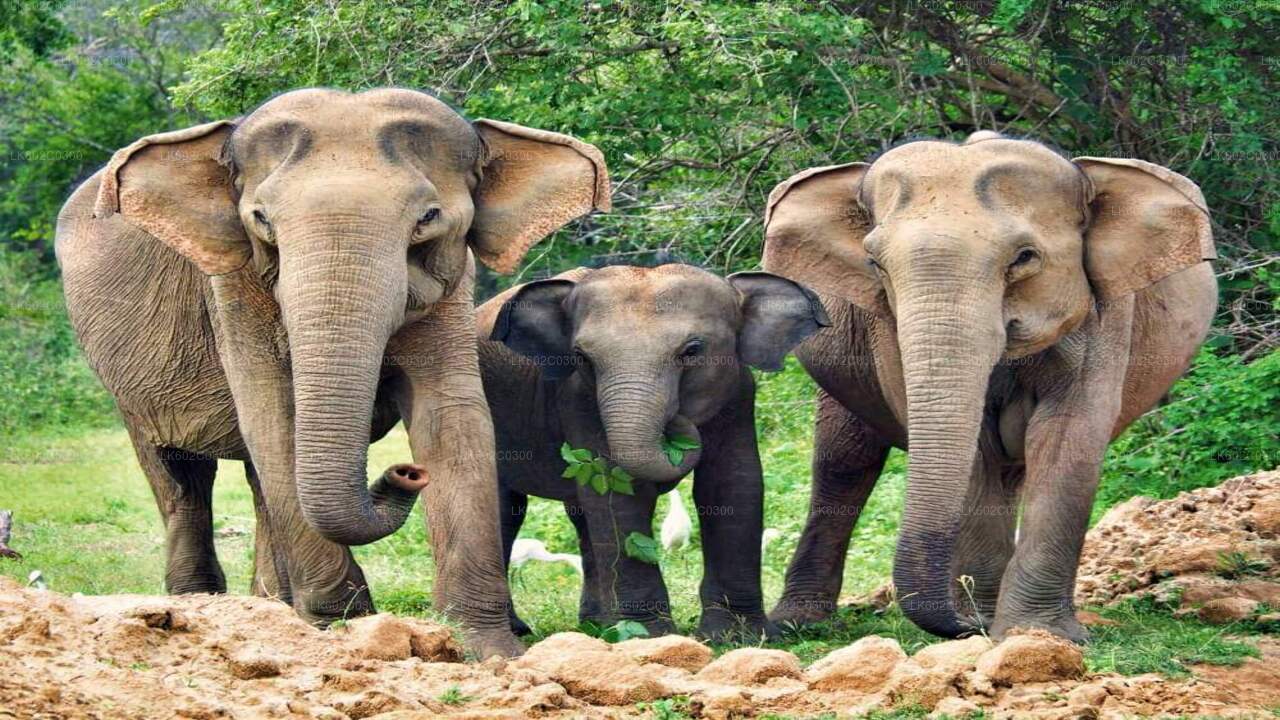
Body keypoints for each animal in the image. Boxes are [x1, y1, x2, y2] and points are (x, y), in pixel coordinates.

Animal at [52, 85, 606, 655]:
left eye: (427, 218)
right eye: (262, 220)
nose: (406, 473)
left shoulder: (454, 284)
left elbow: (453, 414)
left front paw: (488, 649)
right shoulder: (232, 290)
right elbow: (271, 416)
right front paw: (342, 626)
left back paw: (272, 606)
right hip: (130, 385)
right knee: (181, 476)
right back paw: (201, 604)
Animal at [473, 266, 829, 635]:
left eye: (692, 350)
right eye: (582, 357)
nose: (679, 423)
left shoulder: (739, 392)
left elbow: (732, 483)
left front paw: (736, 635)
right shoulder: (577, 399)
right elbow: (618, 491)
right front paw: (648, 634)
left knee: (580, 514)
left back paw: (596, 624)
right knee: (508, 508)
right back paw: (522, 629)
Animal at [757, 131, 1218, 640]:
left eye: (1024, 258)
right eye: (874, 263)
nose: (962, 625)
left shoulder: (1108, 315)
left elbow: (1067, 436)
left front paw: (1036, 633)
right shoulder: (888, 331)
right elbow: (979, 450)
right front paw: (989, 623)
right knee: (844, 461)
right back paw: (799, 624)